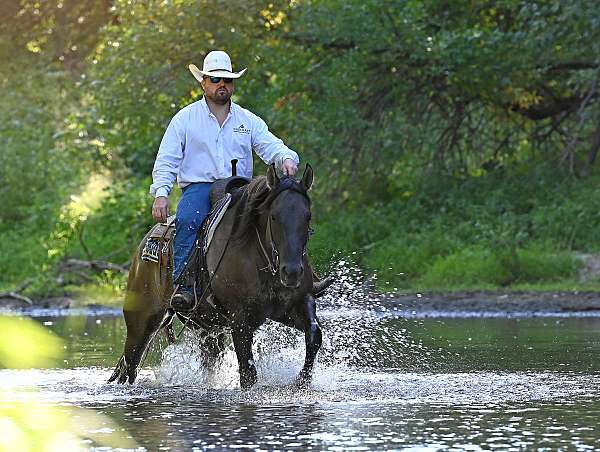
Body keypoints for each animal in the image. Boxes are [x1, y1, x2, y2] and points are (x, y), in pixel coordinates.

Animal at [109, 164, 322, 390]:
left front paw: (301, 381)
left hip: (207, 328)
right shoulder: (240, 319)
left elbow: (314, 335)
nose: (292, 272)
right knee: (130, 364)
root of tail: (146, 244)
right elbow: (248, 373)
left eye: (307, 216)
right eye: (274, 216)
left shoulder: (295, 305)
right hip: (141, 321)